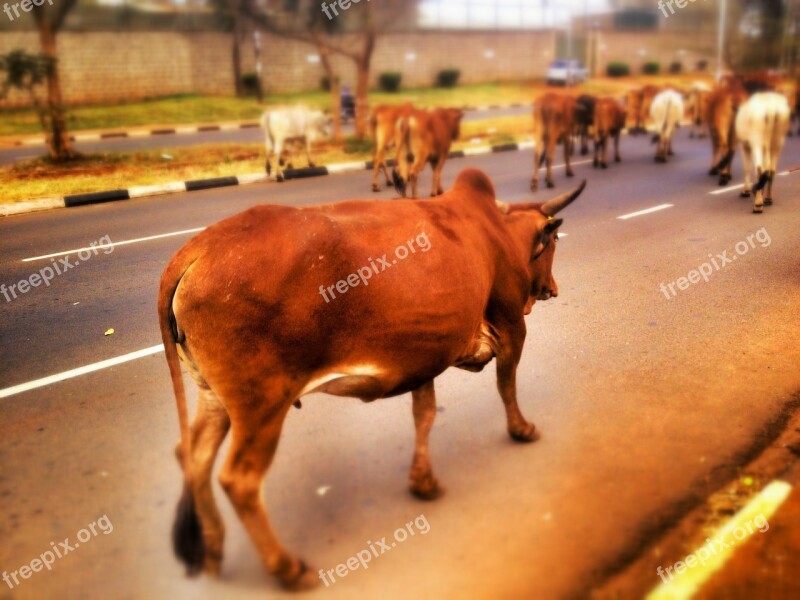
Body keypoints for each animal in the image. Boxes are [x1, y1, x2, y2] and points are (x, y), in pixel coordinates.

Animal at [159, 169, 584, 592]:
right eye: (552, 242)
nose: (553, 289)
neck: (497, 229)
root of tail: (194, 251)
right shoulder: (511, 327)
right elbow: (506, 385)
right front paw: (521, 429)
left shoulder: (426, 352)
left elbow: (425, 415)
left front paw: (423, 482)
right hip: (261, 405)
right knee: (240, 480)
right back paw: (288, 568)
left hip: (214, 396)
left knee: (194, 455)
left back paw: (213, 550)